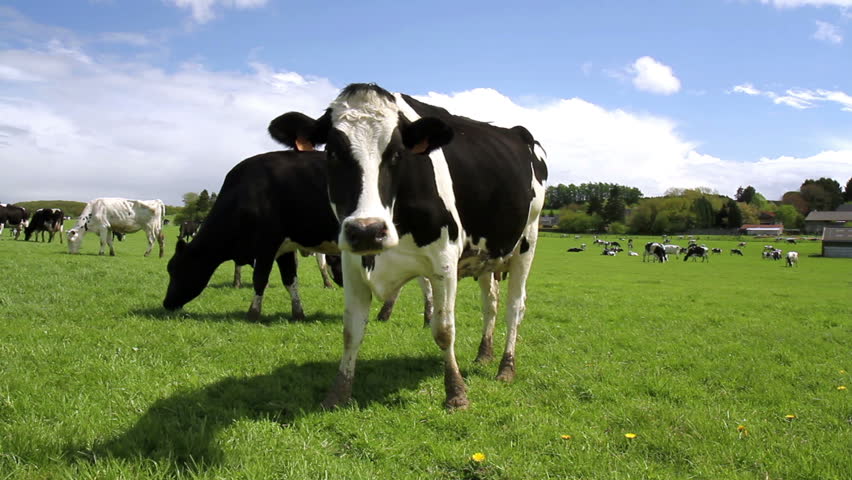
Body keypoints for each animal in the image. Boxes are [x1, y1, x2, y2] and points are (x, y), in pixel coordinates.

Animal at [270, 82, 548, 408]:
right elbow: (351, 331)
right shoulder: (352, 263)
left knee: (515, 306)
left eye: (396, 153)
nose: (368, 230)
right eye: (333, 153)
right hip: (487, 255)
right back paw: (484, 353)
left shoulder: (444, 261)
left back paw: (506, 367)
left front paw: (456, 393)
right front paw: (338, 394)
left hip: (527, 242)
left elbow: (444, 330)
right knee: (490, 303)